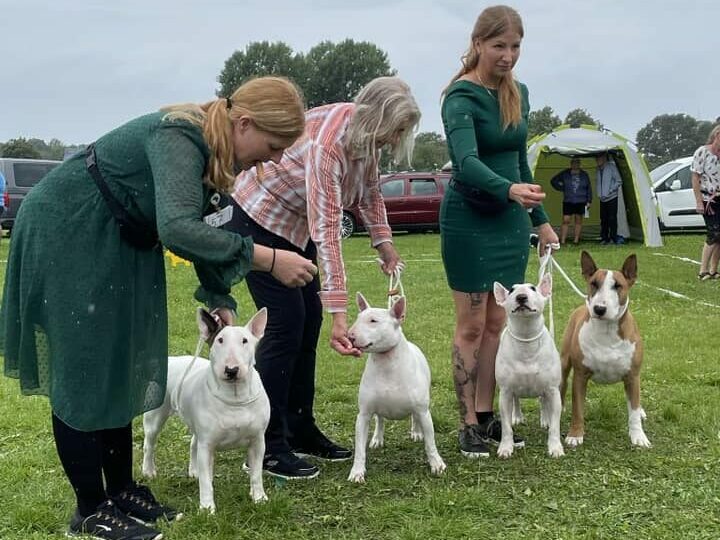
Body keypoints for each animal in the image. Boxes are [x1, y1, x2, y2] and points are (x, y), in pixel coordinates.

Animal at [348, 294, 448, 484]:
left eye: (373, 321)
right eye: (357, 318)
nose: (349, 336)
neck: (386, 363)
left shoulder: (423, 411)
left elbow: (430, 442)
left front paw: (437, 464)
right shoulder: (363, 415)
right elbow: (359, 448)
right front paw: (357, 472)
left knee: (414, 418)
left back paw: (416, 432)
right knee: (380, 420)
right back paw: (377, 438)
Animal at [496, 276, 564, 458]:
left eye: (533, 288)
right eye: (511, 291)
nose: (521, 297)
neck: (526, 337)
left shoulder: (553, 390)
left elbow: (555, 425)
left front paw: (555, 448)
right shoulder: (505, 392)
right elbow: (506, 426)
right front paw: (505, 448)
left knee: (543, 401)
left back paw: (545, 420)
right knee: (517, 399)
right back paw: (517, 416)